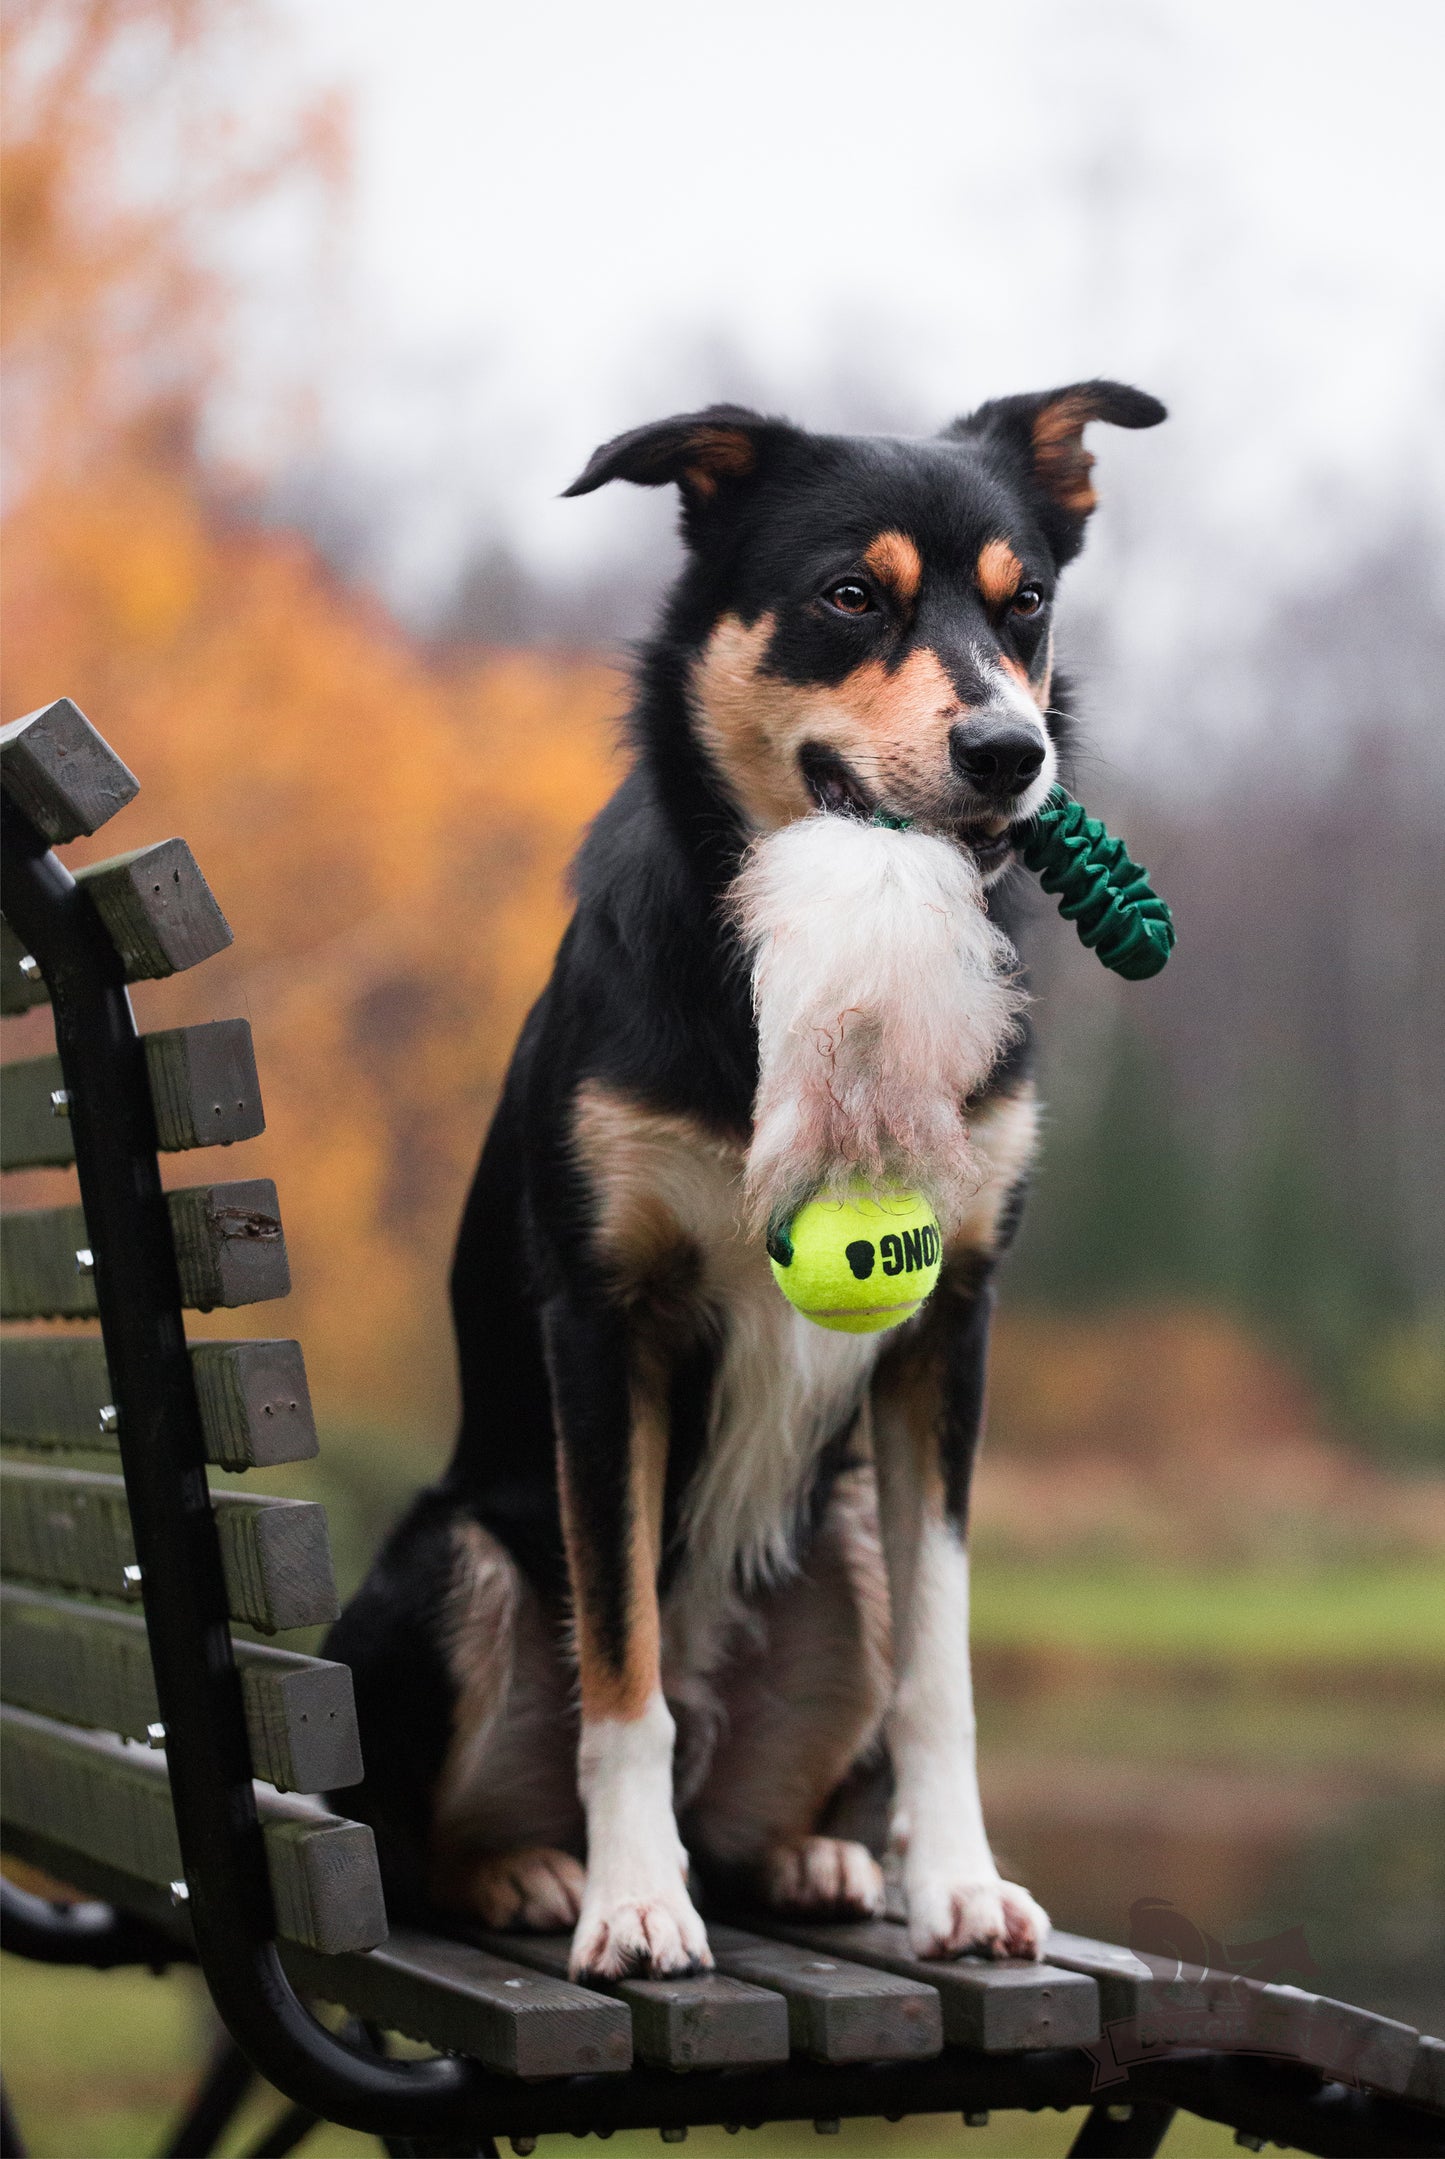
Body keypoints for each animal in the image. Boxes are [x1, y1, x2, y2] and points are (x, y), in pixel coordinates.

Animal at [326, 384, 1157, 1977]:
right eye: (850, 597)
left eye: (1024, 605)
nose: (1011, 750)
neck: (805, 961)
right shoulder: (606, 1320)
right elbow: (621, 1659)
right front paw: (634, 1897)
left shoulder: (952, 1324)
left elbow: (942, 1664)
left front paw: (956, 1880)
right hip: (452, 1555)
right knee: (412, 1829)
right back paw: (531, 1871)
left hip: (838, 1535)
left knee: (774, 1785)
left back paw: (814, 1854)